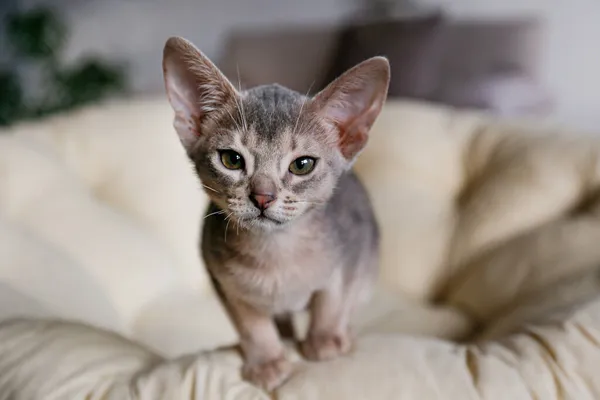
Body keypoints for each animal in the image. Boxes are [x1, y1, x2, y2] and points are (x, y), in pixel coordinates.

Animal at [163, 36, 390, 390]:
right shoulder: (224, 283)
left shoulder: (350, 256)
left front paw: (324, 340)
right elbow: (252, 325)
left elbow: (333, 300)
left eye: (302, 165)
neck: (276, 254)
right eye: (231, 159)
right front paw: (268, 361)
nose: (262, 197)